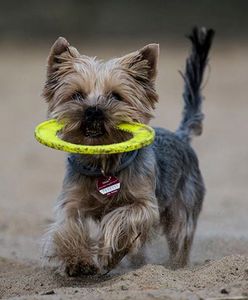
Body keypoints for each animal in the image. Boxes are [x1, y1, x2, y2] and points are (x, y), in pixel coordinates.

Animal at [41, 27, 214, 276]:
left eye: (116, 96)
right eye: (77, 95)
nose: (93, 110)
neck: (102, 163)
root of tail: (181, 135)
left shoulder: (145, 205)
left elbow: (121, 217)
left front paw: (108, 253)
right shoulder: (72, 201)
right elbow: (68, 226)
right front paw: (77, 260)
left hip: (184, 206)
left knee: (180, 236)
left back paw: (176, 266)